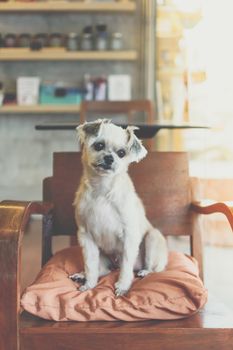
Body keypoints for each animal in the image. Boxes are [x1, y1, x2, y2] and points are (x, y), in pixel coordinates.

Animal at [70, 118, 168, 296]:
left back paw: (145, 271)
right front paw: (89, 284)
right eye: (99, 145)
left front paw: (123, 286)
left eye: (122, 153)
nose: (109, 158)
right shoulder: (86, 237)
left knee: (151, 268)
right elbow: (90, 265)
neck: (102, 190)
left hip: (152, 238)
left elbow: (126, 266)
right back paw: (82, 275)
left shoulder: (129, 236)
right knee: (102, 269)